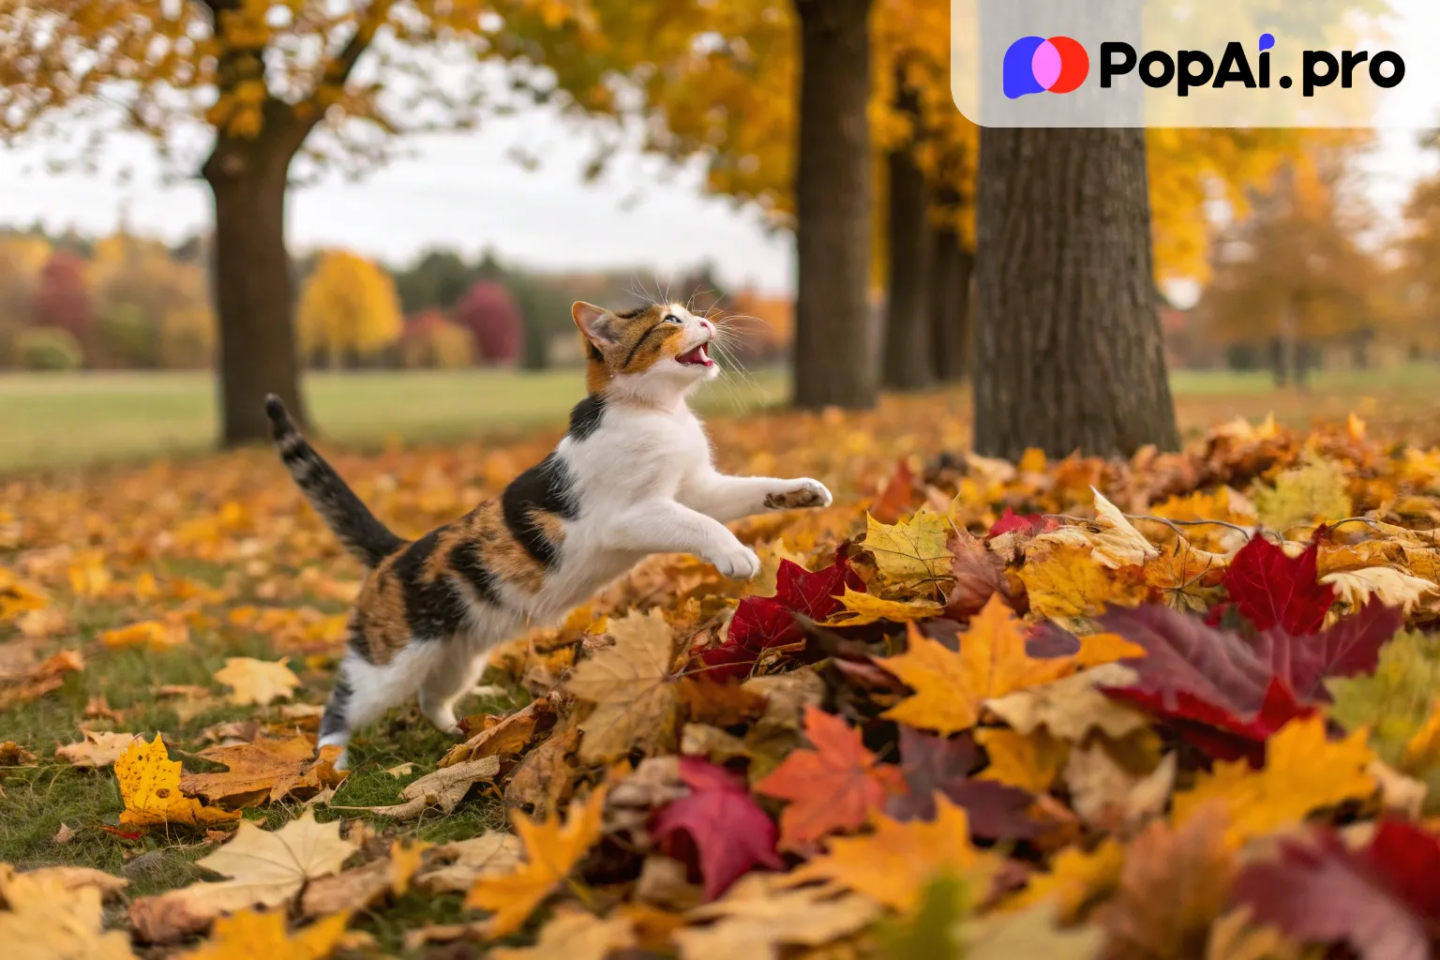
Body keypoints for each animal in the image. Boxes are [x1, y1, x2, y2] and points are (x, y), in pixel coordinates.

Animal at [267, 300, 835, 765]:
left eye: (689, 313)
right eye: (671, 321)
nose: (707, 319)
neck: (660, 413)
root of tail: (394, 552)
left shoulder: (698, 486)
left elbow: (746, 491)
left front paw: (802, 492)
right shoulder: (632, 515)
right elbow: (702, 523)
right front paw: (736, 556)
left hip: (457, 658)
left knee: (432, 698)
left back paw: (464, 737)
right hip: (388, 667)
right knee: (341, 705)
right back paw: (332, 765)